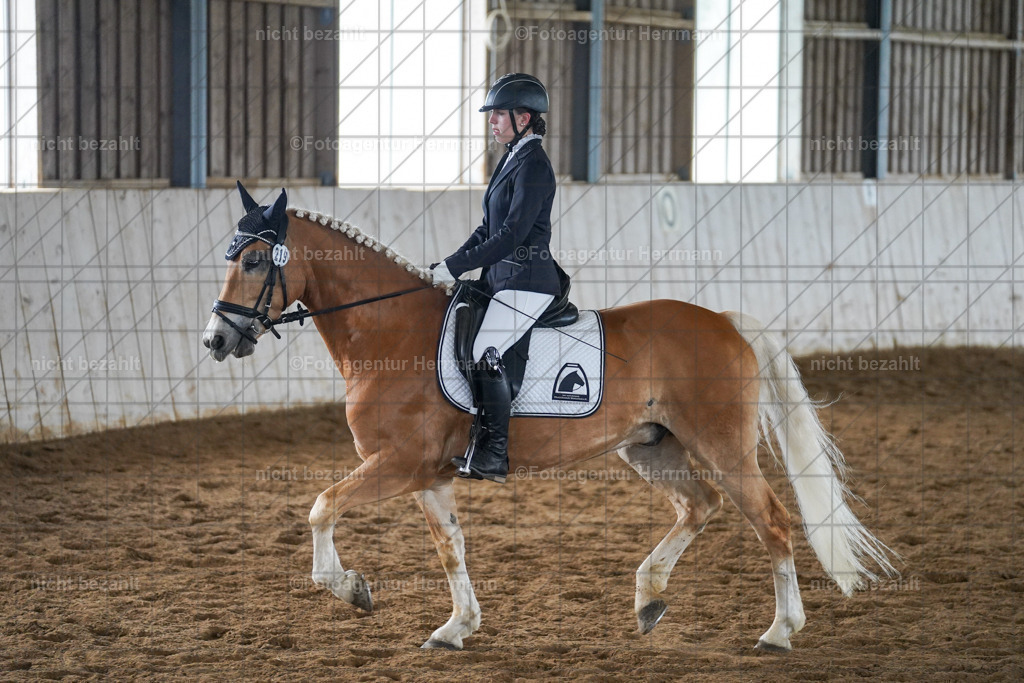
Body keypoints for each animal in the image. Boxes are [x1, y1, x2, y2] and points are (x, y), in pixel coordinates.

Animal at [202, 186, 897, 652]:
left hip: (722, 446)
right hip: (651, 445)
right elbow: (450, 548)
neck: (388, 329)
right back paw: (649, 598)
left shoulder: (396, 463)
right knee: (700, 505)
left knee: (772, 521)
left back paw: (779, 631)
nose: (216, 340)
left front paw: (349, 588)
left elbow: (321, 505)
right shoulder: (428, 474)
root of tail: (727, 322)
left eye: (256, 262)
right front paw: (456, 627)